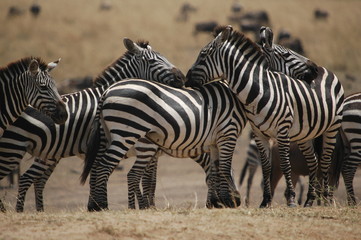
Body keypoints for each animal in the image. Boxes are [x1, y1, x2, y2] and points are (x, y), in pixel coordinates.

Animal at [0, 39, 183, 212]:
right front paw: (101, 205)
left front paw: (97, 205)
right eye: (152, 61)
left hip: (48, 154)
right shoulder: (106, 145)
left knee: (36, 181)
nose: (182, 77)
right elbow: (112, 175)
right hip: (12, 149)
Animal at [80, 26, 320, 210]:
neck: (236, 95)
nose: (315, 70)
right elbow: (224, 168)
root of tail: (106, 92)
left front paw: (218, 202)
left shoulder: (214, 139)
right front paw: (229, 201)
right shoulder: (228, 132)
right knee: (103, 168)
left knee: (100, 168)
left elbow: (214, 170)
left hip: (113, 136)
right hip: (125, 133)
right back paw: (101, 207)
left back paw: (97, 206)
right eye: (287, 55)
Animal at [186, 25, 344, 207]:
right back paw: (310, 200)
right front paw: (266, 200)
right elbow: (266, 167)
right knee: (313, 161)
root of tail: (328, 70)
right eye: (287, 54)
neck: (260, 92)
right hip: (305, 133)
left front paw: (291, 199)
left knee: (325, 161)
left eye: (203, 55)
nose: (315, 69)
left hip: (332, 127)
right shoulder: (259, 133)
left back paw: (327, 200)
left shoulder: (282, 131)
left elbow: (285, 164)